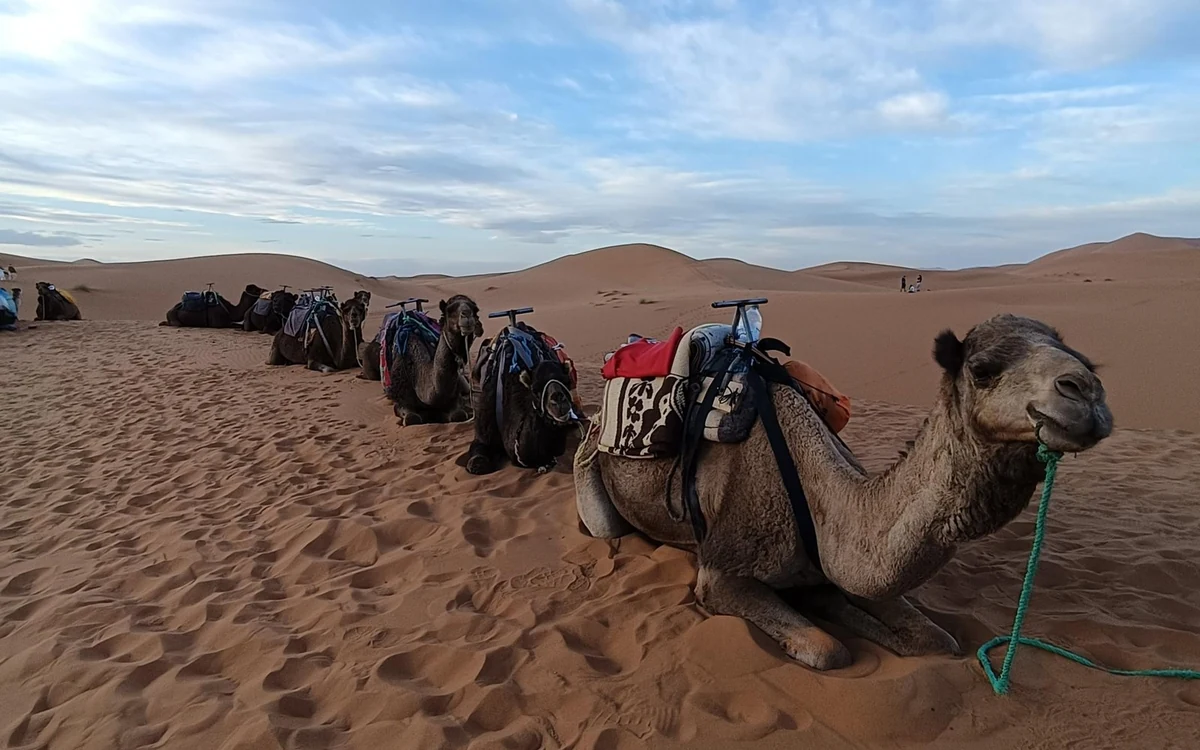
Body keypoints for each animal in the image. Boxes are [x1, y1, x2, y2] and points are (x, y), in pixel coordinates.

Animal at [385, 294, 482, 425]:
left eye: (475, 310)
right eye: (449, 310)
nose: (466, 315)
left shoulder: (455, 396)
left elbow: (459, 415)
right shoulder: (401, 398)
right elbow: (412, 418)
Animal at [573, 313, 1113, 670]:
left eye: (1088, 361)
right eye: (982, 370)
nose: (1084, 393)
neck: (819, 501)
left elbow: (937, 640)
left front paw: (832, 602)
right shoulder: (721, 573)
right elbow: (828, 650)